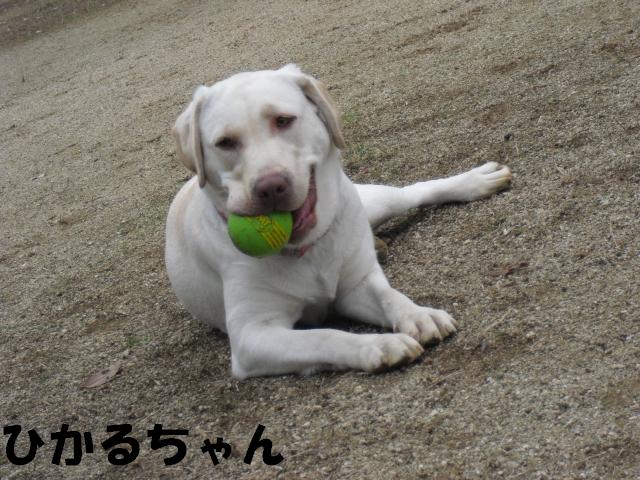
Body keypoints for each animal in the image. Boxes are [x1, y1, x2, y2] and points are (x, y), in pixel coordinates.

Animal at [165, 64, 511, 379]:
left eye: (283, 120)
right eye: (225, 142)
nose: (271, 186)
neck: (306, 251)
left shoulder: (356, 285)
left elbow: (389, 295)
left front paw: (418, 314)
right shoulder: (252, 336)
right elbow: (322, 337)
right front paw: (379, 345)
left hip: (375, 201)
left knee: (414, 192)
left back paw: (474, 182)